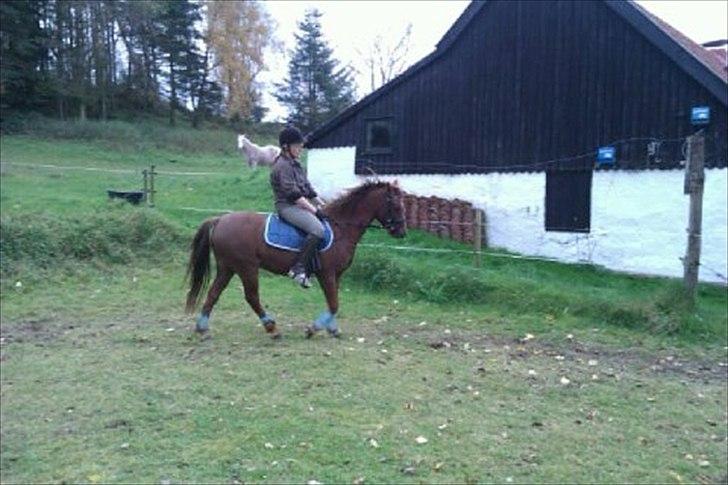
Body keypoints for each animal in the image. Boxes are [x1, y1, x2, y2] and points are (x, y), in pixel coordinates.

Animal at [185, 180, 406, 338]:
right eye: (395, 205)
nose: (402, 232)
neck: (341, 228)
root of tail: (220, 219)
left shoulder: (336, 275)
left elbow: (333, 303)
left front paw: (332, 328)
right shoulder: (326, 274)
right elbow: (334, 304)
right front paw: (313, 328)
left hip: (227, 267)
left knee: (214, 293)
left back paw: (202, 328)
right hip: (247, 267)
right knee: (251, 296)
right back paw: (271, 328)